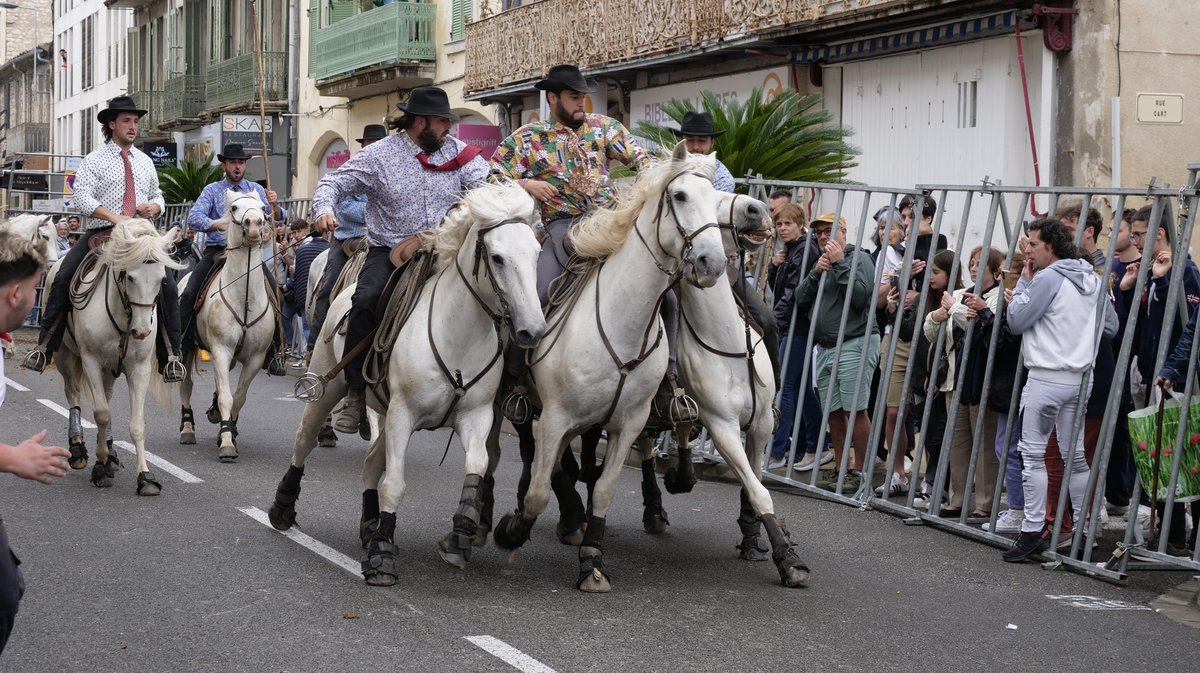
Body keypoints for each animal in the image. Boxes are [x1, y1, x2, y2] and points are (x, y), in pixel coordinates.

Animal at [45, 219, 182, 494]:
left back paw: (111, 454)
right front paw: (100, 466)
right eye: (130, 276)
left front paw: (145, 477)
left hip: (110, 368)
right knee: (73, 394)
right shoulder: (91, 361)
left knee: (105, 397)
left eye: (162, 279)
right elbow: (101, 414)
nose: (142, 331)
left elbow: (136, 424)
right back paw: (78, 449)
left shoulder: (138, 368)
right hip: (66, 356)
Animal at [176, 191, 277, 458]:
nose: (254, 226)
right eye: (234, 208)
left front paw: (228, 431)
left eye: (263, 207)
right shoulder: (221, 350)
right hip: (188, 349)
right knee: (186, 386)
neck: (243, 297)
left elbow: (238, 397)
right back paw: (187, 429)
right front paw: (227, 444)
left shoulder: (256, 357)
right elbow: (226, 398)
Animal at [270, 181, 547, 585]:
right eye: (496, 258)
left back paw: (369, 526)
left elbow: (478, 465)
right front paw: (382, 557)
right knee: (304, 440)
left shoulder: (476, 416)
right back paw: (283, 509)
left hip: (385, 414)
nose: (533, 331)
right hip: (330, 388)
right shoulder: (404, 415)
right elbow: (395, 484)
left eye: (536, 253)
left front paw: (460, 533)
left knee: (371, 462)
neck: (457, 334)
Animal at [492, 142, 724, 592]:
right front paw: (511, 531)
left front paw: (592, 562)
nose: (712, 263)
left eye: (718, 201)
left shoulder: (628, 424)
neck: (620, 322)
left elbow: (603, 489)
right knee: (533, 454)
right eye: (680, 196)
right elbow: (540, 490)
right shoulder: (555, 416)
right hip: (525, 406)